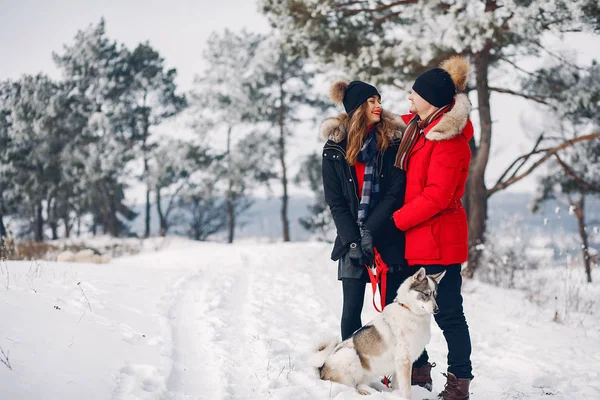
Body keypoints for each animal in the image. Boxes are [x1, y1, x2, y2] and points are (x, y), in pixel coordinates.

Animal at [312, 268, 442, 398]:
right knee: (352, 387)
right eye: (426, 294)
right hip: (350, 355)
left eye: (435, 295)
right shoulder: (404, 361)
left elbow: (397, 386)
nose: (437, 310)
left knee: (361, 384)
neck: (409, 310)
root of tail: (322, 367)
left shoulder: (399, 365)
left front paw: (396, 394)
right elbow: (406, 390)